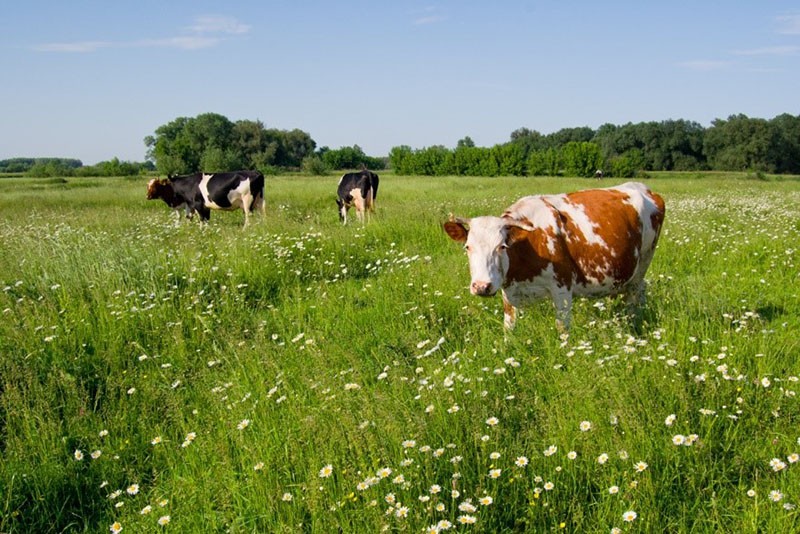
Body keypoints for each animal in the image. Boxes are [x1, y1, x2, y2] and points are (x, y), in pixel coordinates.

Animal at [444, 184, 664, 336]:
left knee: (636, 294)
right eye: (467, 247)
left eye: (502, 246)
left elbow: (562, 329)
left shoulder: (562, 287)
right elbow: (509, 329)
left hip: (644, 262)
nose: (482, 286)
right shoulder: (508, 292)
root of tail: (643, 188)